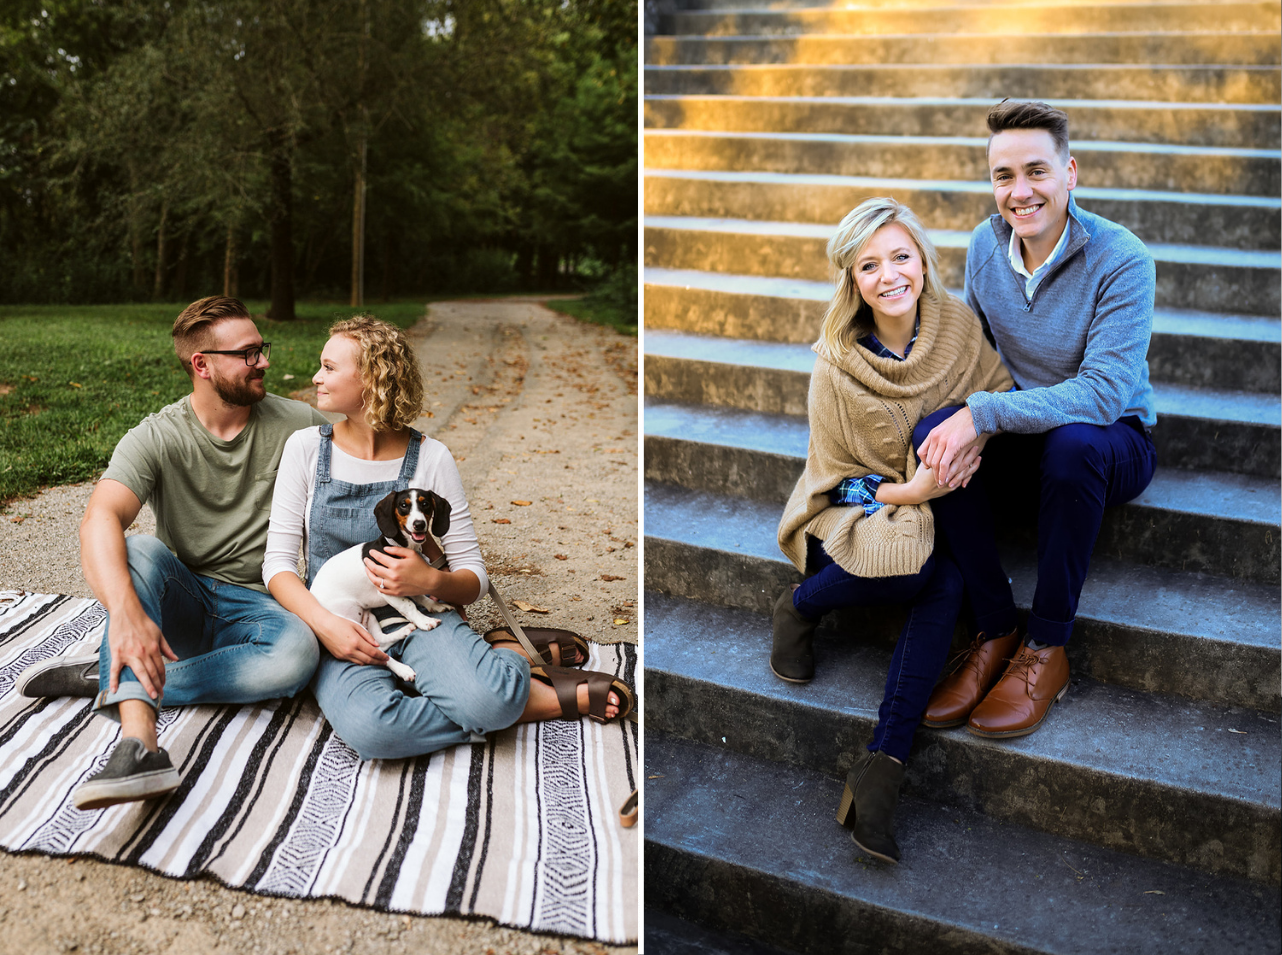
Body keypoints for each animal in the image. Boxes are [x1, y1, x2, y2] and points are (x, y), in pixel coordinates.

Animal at [308, 487, 451, 681]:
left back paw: (405, 630)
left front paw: (435, 606)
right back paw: (403, 669)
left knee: (380, 641)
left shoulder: (408, 582)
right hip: (352, 628)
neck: (401, 548)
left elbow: (421, 598)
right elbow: (410, 605)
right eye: (403, 505)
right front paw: (424, 621)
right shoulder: (388, 590)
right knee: (378, 654)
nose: (419, 524)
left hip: (369, 617)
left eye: (425, 503)